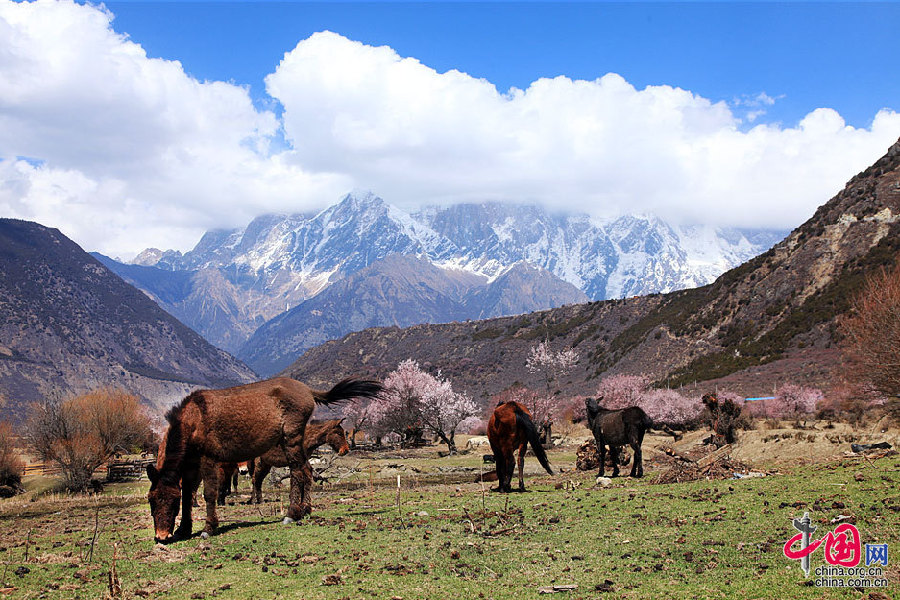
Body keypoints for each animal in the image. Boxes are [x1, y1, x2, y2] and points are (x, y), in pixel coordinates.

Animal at [145, 378, 384, 540]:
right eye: (151, 500)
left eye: (171, 502)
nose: (161, 537)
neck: (193, 420)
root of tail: (306, 389)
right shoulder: (190, 465)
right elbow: (188, 494)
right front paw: (184, 529)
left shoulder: (208, 460)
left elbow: (209, 493)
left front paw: (208, 528)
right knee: (302, 472)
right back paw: (303, 510)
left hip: (290, 440)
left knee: (298, 472)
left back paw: (292, 514)